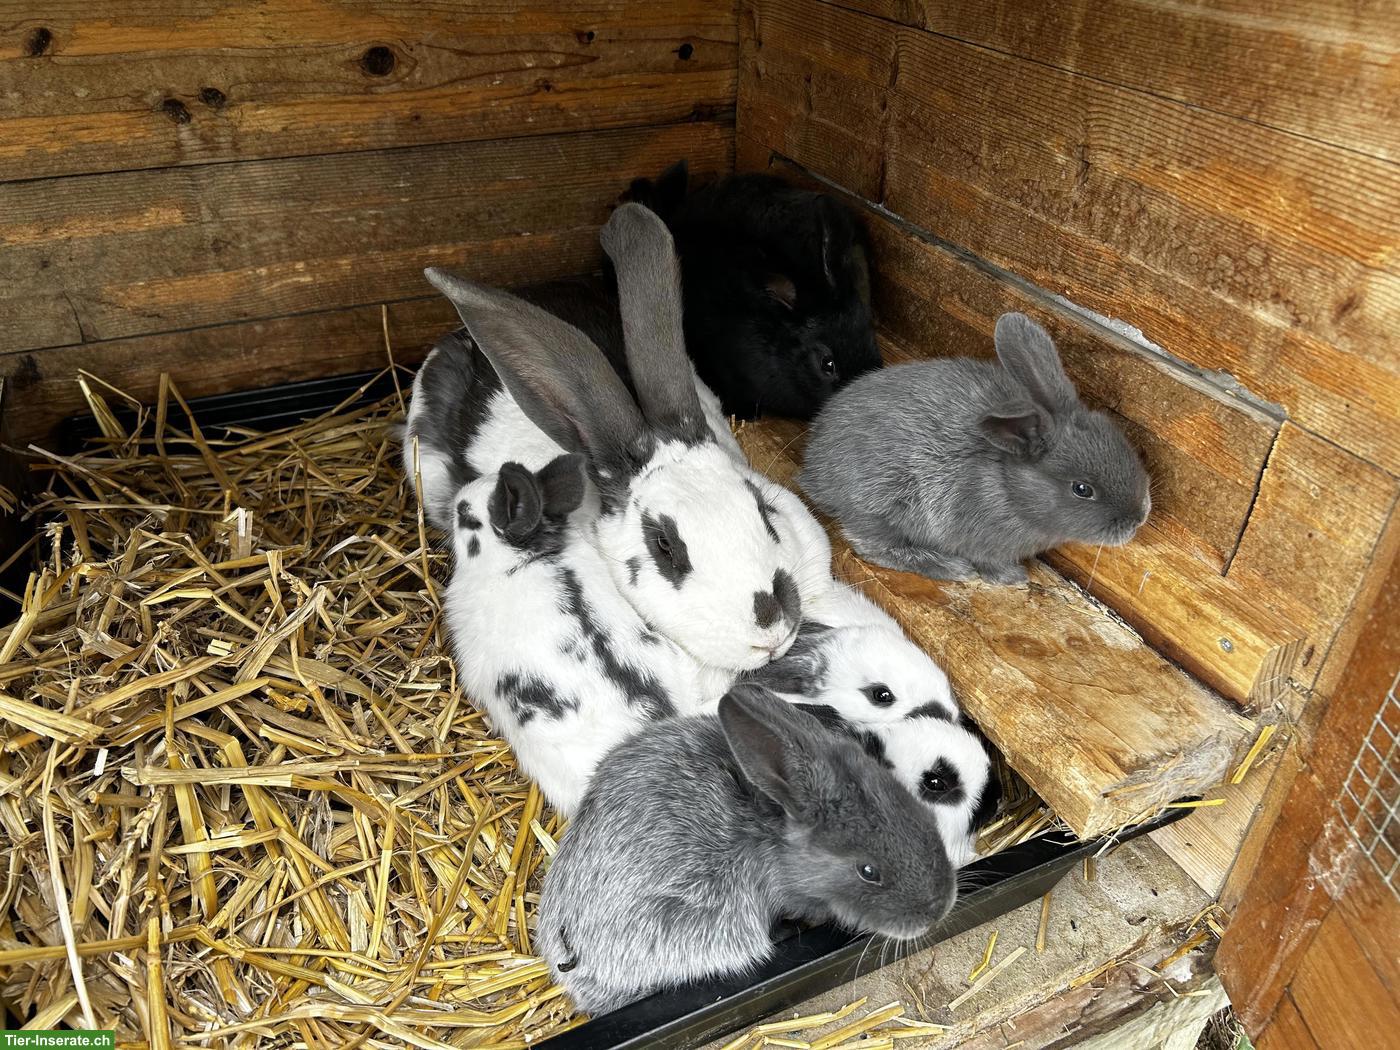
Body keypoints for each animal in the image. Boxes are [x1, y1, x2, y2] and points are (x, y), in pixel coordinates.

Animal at [799, 312, 1152, 585]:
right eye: (1082, 489)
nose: (1138, 517)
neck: (1007, 485)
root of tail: (813, 466)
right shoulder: (979, 540)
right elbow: (987, 561)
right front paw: (1013, 578)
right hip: (882, 503)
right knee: (874, 545)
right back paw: (950, 567)